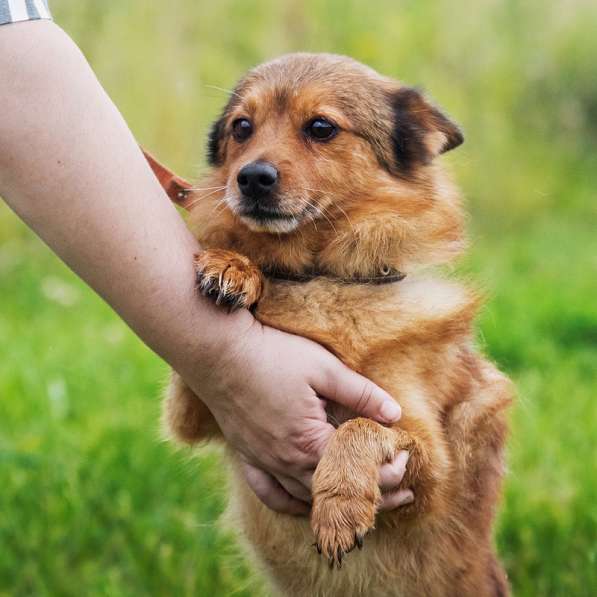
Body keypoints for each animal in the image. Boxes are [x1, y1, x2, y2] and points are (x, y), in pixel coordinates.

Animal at [162, 53, 512, 592]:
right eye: (241, 127)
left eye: (321, 127)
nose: (251, 177)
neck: (322, 278)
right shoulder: (197, 409)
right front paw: (236, 267)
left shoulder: (431, 467)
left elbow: (361, 427)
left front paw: (339, 505)